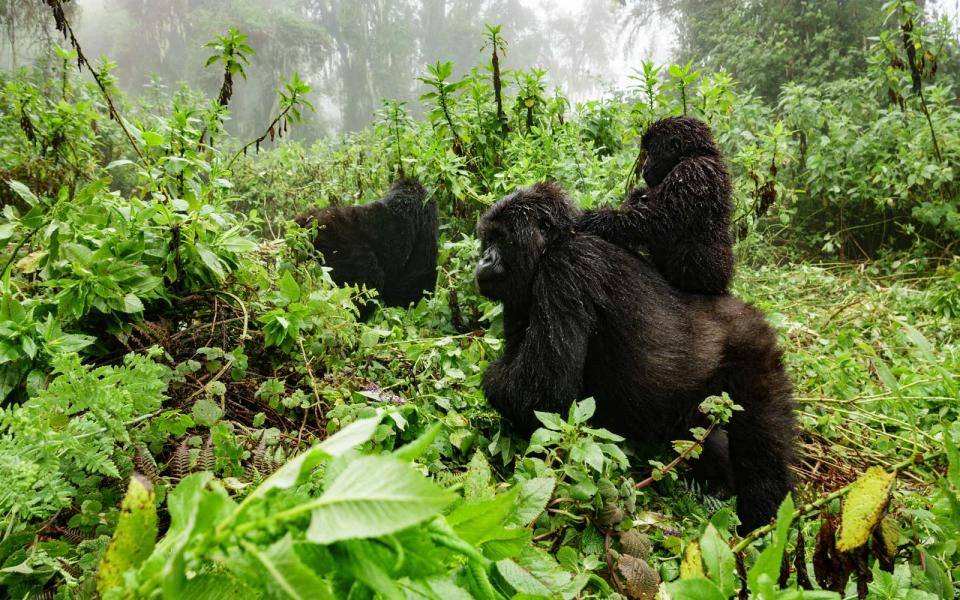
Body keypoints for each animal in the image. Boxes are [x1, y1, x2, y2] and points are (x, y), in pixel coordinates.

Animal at [474, 182, 796, 528]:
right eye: (487, 239)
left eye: (500, 239)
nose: (484, 259)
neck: (555, 242)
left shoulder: (566, 267)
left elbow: (540, 394)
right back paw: (719, 484)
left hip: (754, 349)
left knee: (762, 447)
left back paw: (765, 521)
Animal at [576, 116, 736, 294]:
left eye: (651, 152)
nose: (644, 166)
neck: (695, 153)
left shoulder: (691, 171)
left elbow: (660, 220)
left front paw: (595, 219)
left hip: (717, 276)